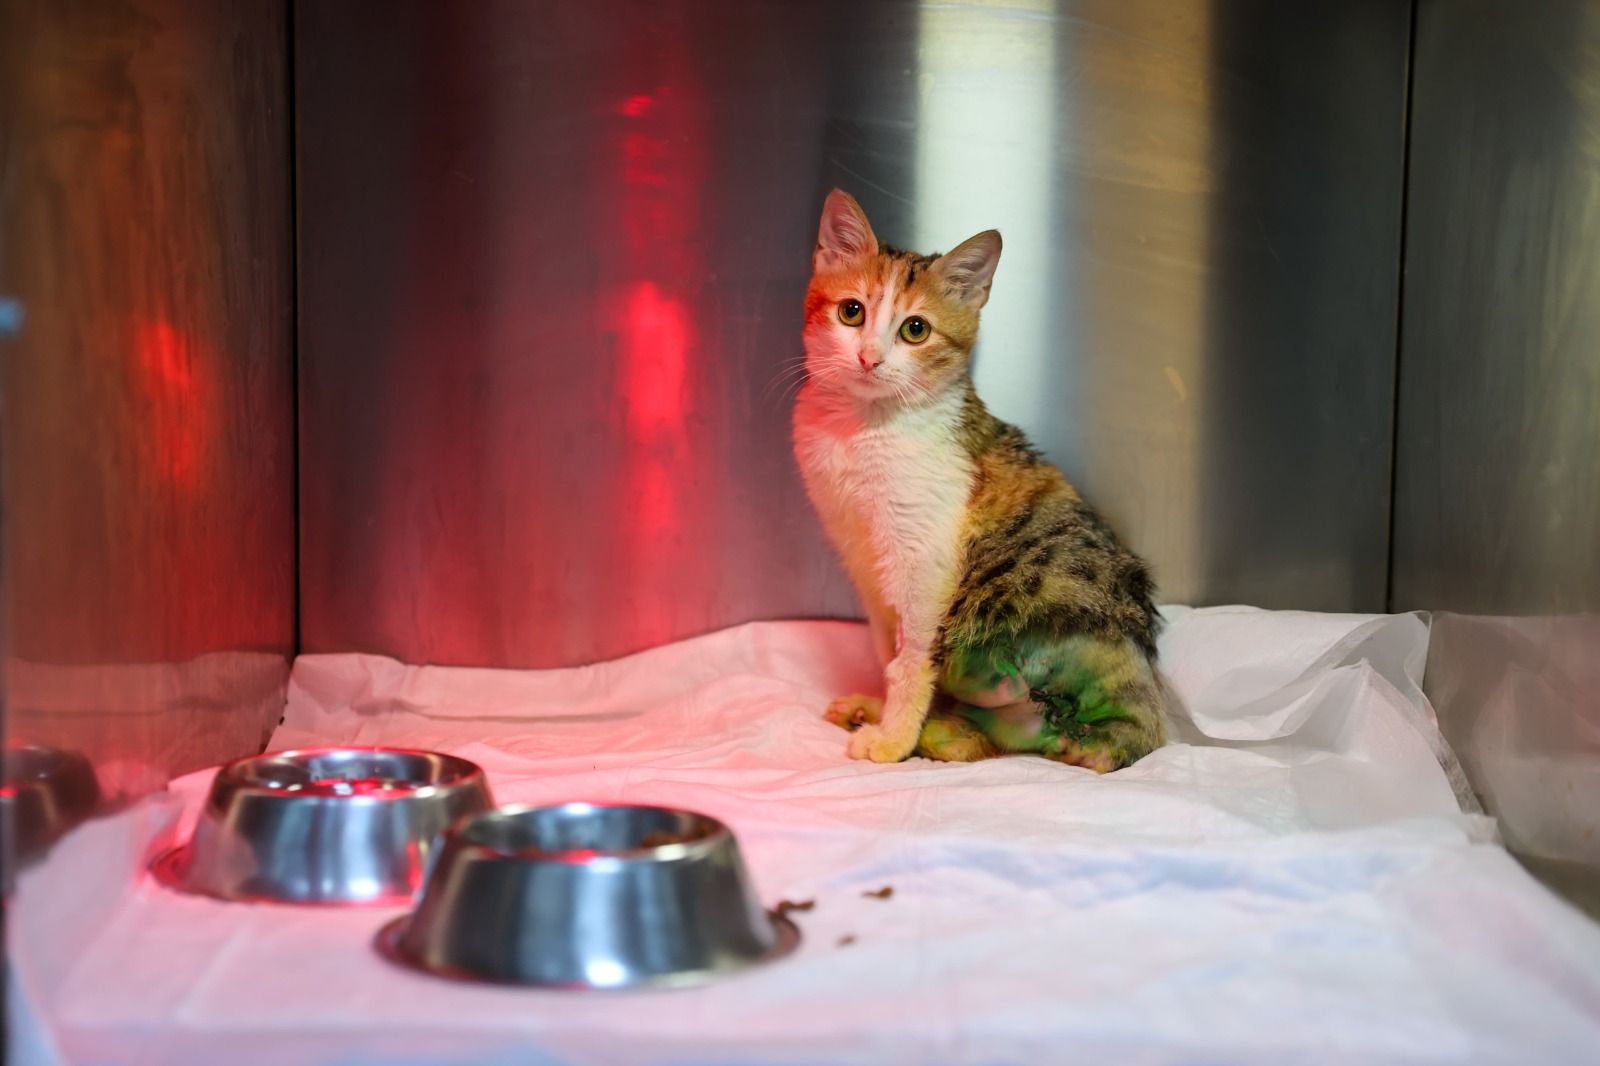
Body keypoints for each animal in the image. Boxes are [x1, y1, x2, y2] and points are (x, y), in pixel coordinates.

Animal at [793, 191, 1171, 768]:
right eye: (851, 312)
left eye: (916, 329)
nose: (869, 358)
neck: (863, 427)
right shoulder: (862, 559)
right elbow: (885, 644)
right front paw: (881, 710)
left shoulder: (926, 565)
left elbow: (910, 658)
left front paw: (893, 737)